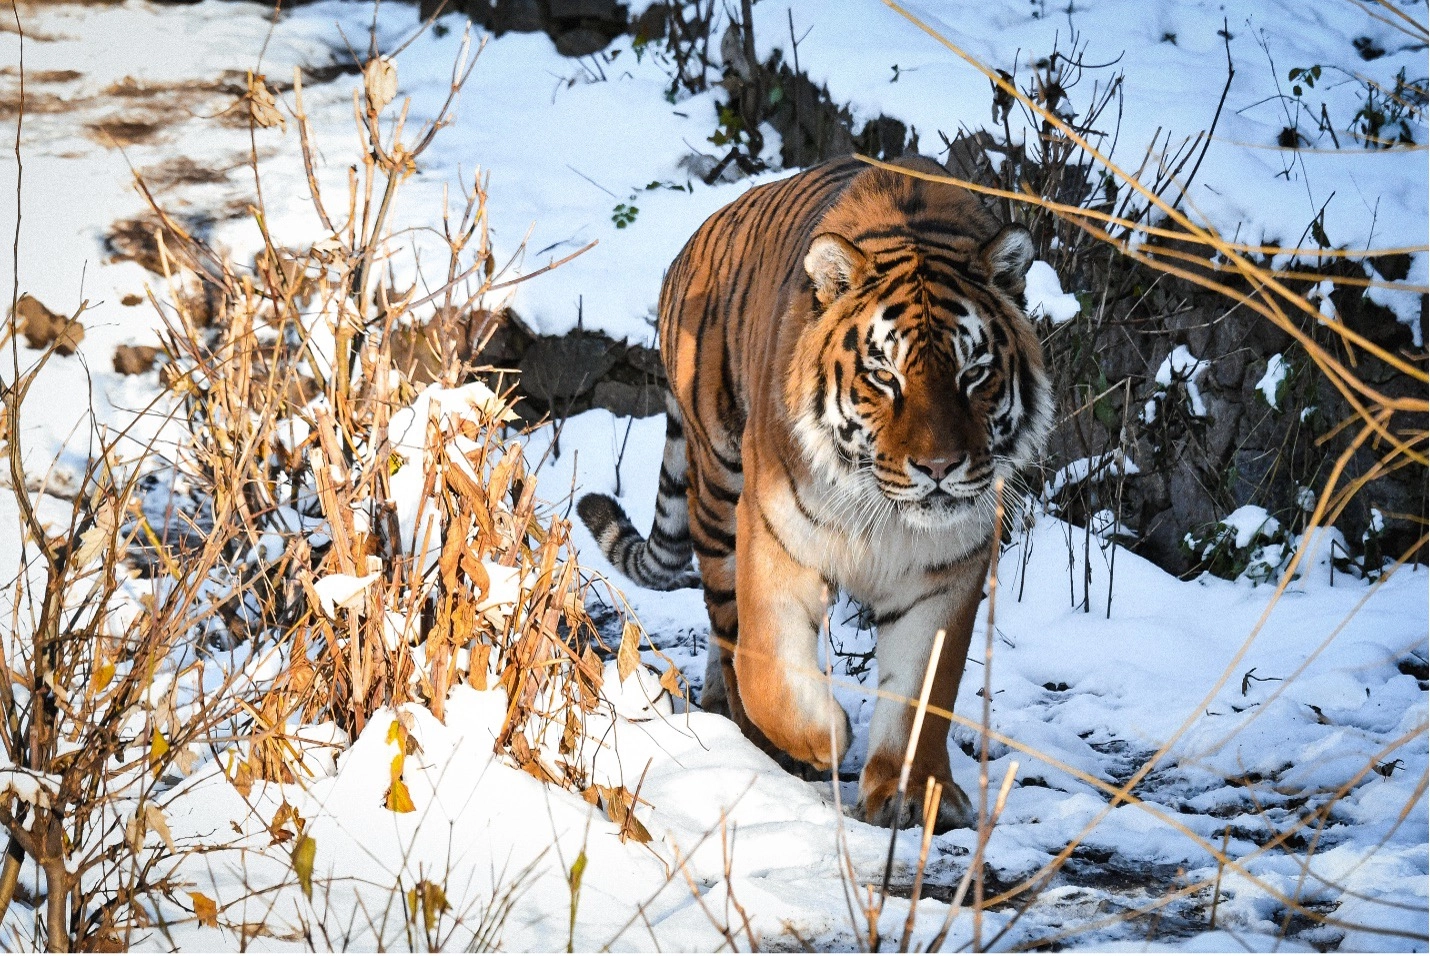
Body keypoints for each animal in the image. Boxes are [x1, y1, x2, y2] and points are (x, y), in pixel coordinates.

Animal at [574, 152, 1058, 828]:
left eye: (974, 373)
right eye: (884, 376)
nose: (939, 467)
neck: (888, 514)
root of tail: (696, 238)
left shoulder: (946, 571)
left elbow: (922, 690)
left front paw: (907, 792)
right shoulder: (775, 537)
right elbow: (769, 670)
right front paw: (822, 740)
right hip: (719, 493)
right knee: (729, 629)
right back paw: (752, 736)